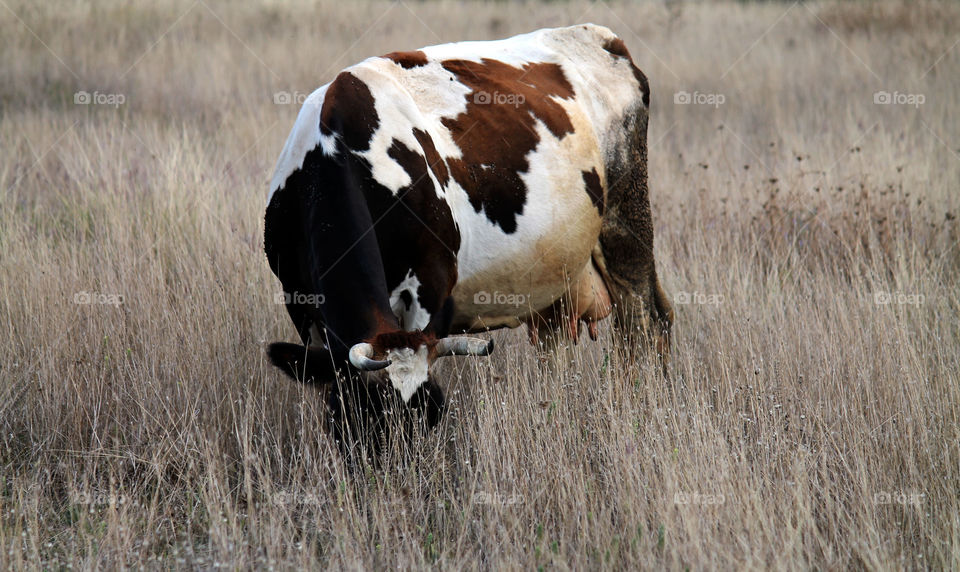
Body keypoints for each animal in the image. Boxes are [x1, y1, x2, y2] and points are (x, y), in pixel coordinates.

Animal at [264, 24, 673, 455]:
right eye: (362, 416)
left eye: (431, 414)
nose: (404, 472)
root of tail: (601, 37)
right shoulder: (299, 299)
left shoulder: (428, 292)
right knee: (557, 343)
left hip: (627, 225)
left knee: (645, 322)